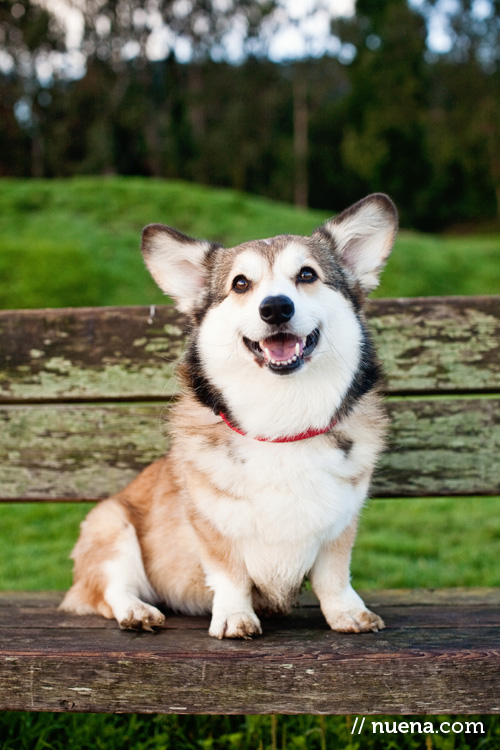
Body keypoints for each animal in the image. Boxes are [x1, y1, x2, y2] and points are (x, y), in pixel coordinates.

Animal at [61, 194, 398, 640]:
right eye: (240, 283)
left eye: (307, 274)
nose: (275, 308)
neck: (281, 422)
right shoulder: (212, 527)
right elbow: (230, 575)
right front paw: (235, 618)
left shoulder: (340, 525)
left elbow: (334, 576)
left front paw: (348, 614)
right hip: (111, 525)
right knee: (109, 588)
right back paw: (136, 611)